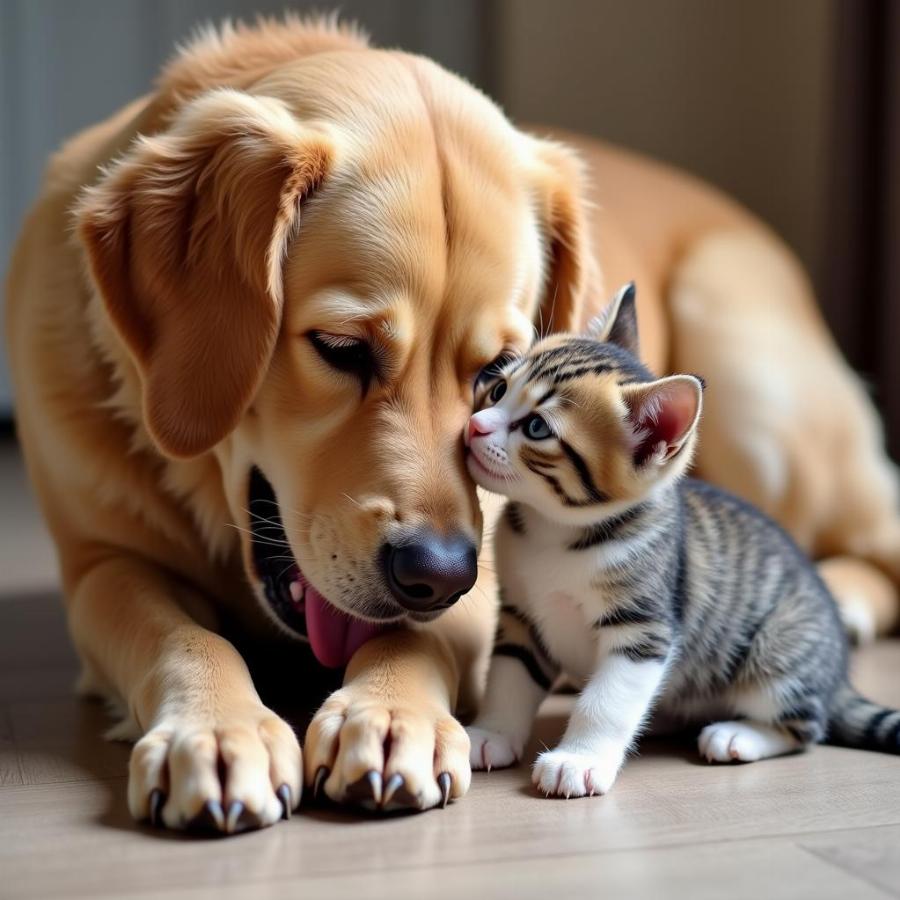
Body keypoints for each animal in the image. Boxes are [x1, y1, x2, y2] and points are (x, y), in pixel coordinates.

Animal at [464, 284, 900, 800]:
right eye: (497, 389)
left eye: (537, 428)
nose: (473, 426)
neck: (555, 530)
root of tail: (838, 677)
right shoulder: (522, 616)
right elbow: (508, 676)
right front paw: (491, 734)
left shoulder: (643, 630)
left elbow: (607, 700)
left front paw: (579, 759)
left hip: (778, 656)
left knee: (805, 727)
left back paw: (737, 735)